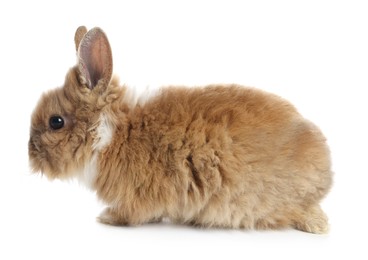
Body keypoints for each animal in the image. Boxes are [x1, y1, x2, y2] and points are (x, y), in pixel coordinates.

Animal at [28, 26, 332, 234]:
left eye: (56, 121)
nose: (30, 154)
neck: (111, 133)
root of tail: (324, 178)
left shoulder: (137, 197)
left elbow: (130, 214)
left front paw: (106, 217)